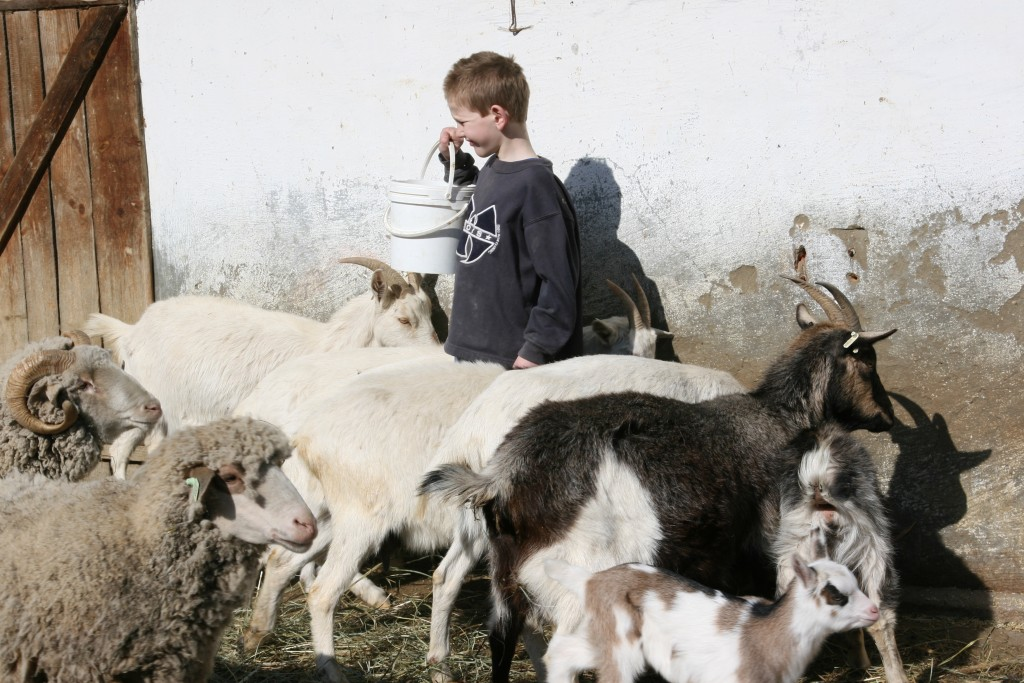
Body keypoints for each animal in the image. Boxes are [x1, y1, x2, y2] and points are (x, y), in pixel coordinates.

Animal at [81, 257, 438, 476]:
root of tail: (131, 330)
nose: (436, 351)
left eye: (430, 312)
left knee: (127, 449)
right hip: (158, 405)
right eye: (403, 319)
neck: (330, 345)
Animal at [543, 556, 879, 683]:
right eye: (837, 594)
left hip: (608, 634)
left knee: (560, 654)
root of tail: (590, 580)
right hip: (621, 641)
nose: (873, 610)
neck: (765, 632)